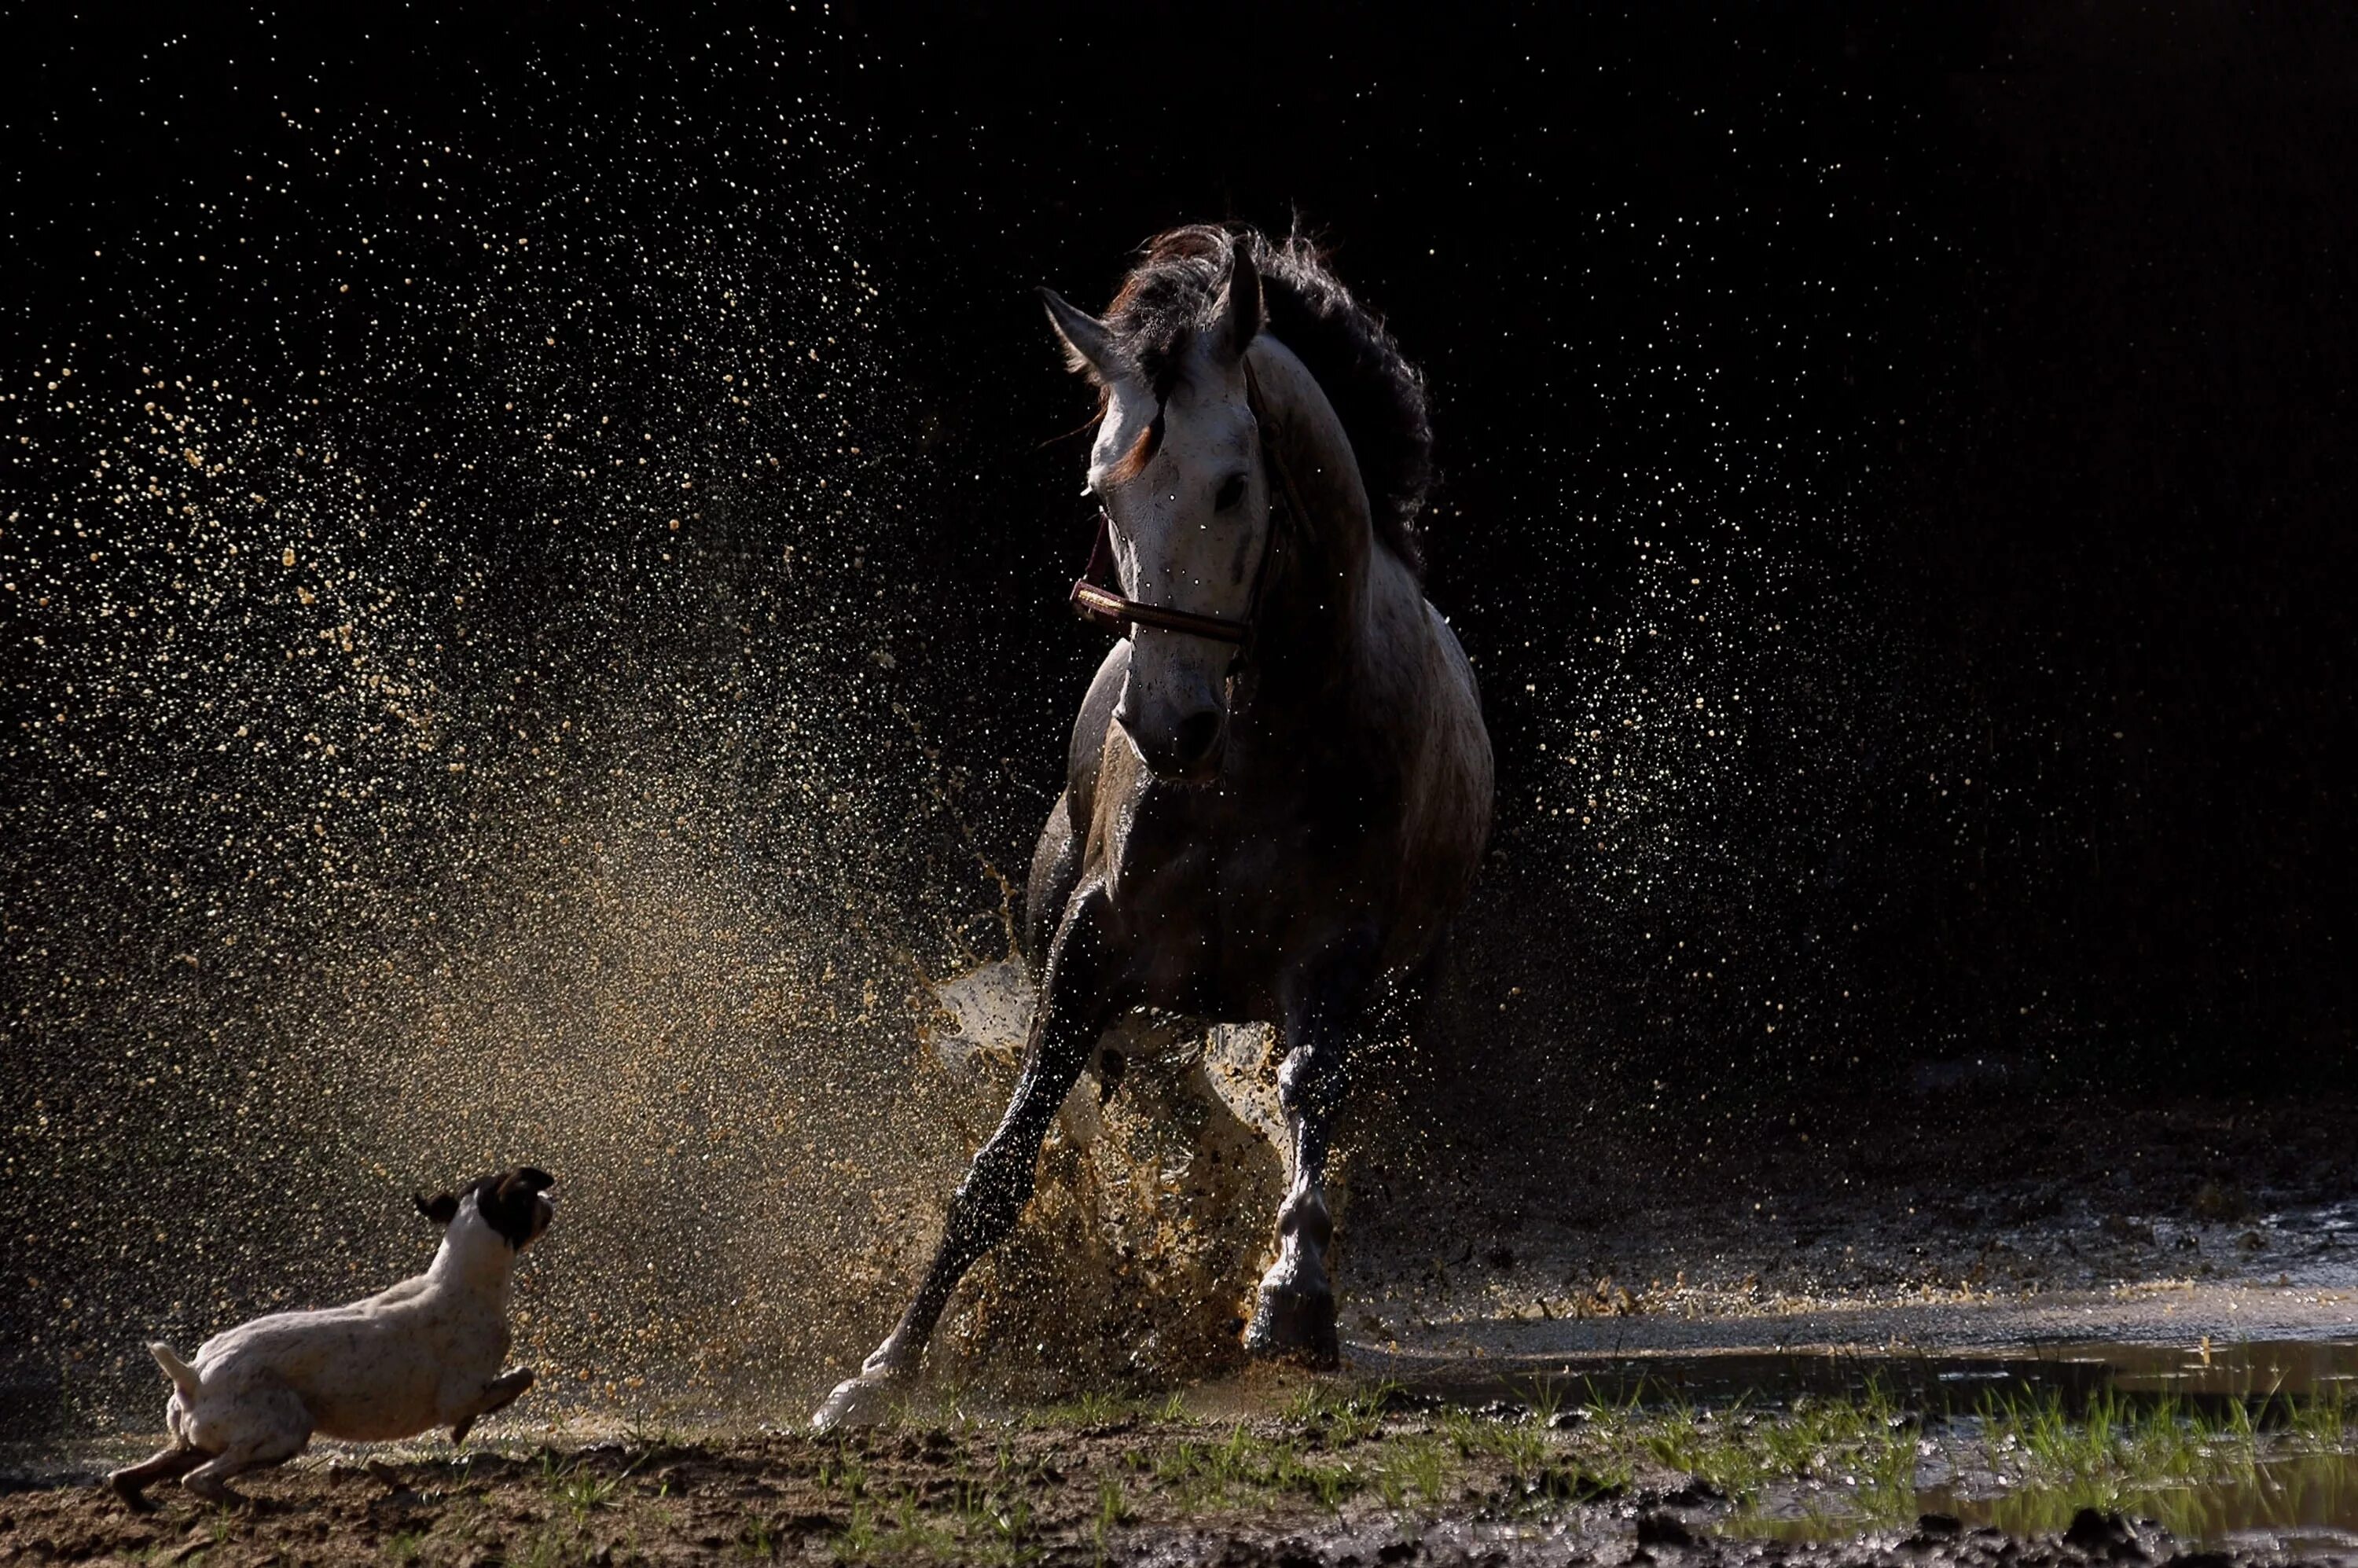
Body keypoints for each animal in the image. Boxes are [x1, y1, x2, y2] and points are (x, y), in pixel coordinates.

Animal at [109, 1160, 556, 1509]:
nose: (550, 1203)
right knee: (199, 1479)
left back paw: (145, 1505)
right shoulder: (461, 1393)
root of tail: (193, 1375)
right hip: (282, 1431)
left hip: (194, 1442)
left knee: (128, 1477)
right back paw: (252, 1504)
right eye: (528, 1199)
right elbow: (519, 1379)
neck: (460, 1280)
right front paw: (465, 1427)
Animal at [816, 222, 1490, 1434]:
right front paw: (884, 1367)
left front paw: (1293, 1302)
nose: (1167, 723)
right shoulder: (1093, 944)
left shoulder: (1338, 954)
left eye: (1233, 484)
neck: (1261, 744)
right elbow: (1005, 1158)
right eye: (1103, 493)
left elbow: (1306, 1095)